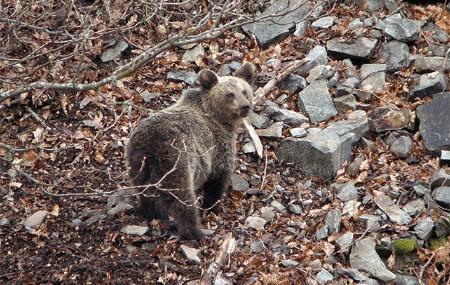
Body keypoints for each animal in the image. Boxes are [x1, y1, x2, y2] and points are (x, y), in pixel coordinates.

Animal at [125, 62, 256, 240]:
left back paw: (151, 213)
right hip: (176, 158)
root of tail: (151, 142)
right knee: (182, 197)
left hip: (138, 161)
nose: (245, 106)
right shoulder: (217, 144)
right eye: (230, 94)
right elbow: (218, 176)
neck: (216, 115)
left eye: (244, 91)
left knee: (144, 192)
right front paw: (212, 205)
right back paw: (194, 231)